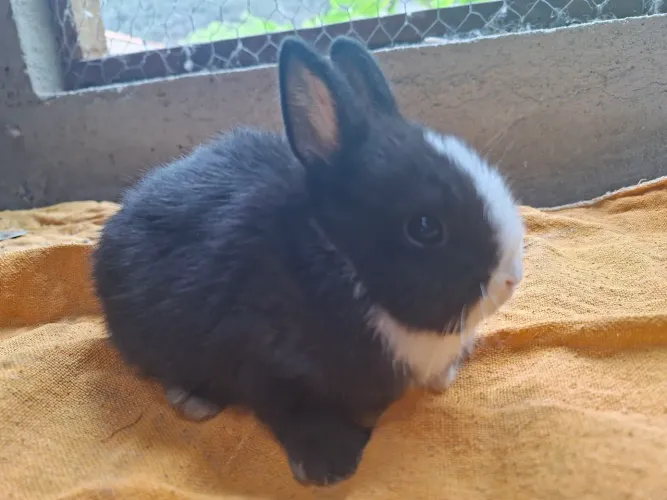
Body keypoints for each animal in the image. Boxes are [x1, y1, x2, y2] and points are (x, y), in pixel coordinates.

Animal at [92, 35, 524, 487]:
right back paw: (194, 400)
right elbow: (298, 410)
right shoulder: (264, 359)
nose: (511, 278)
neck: (342, 261)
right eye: (425, 227)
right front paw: (331, 465)